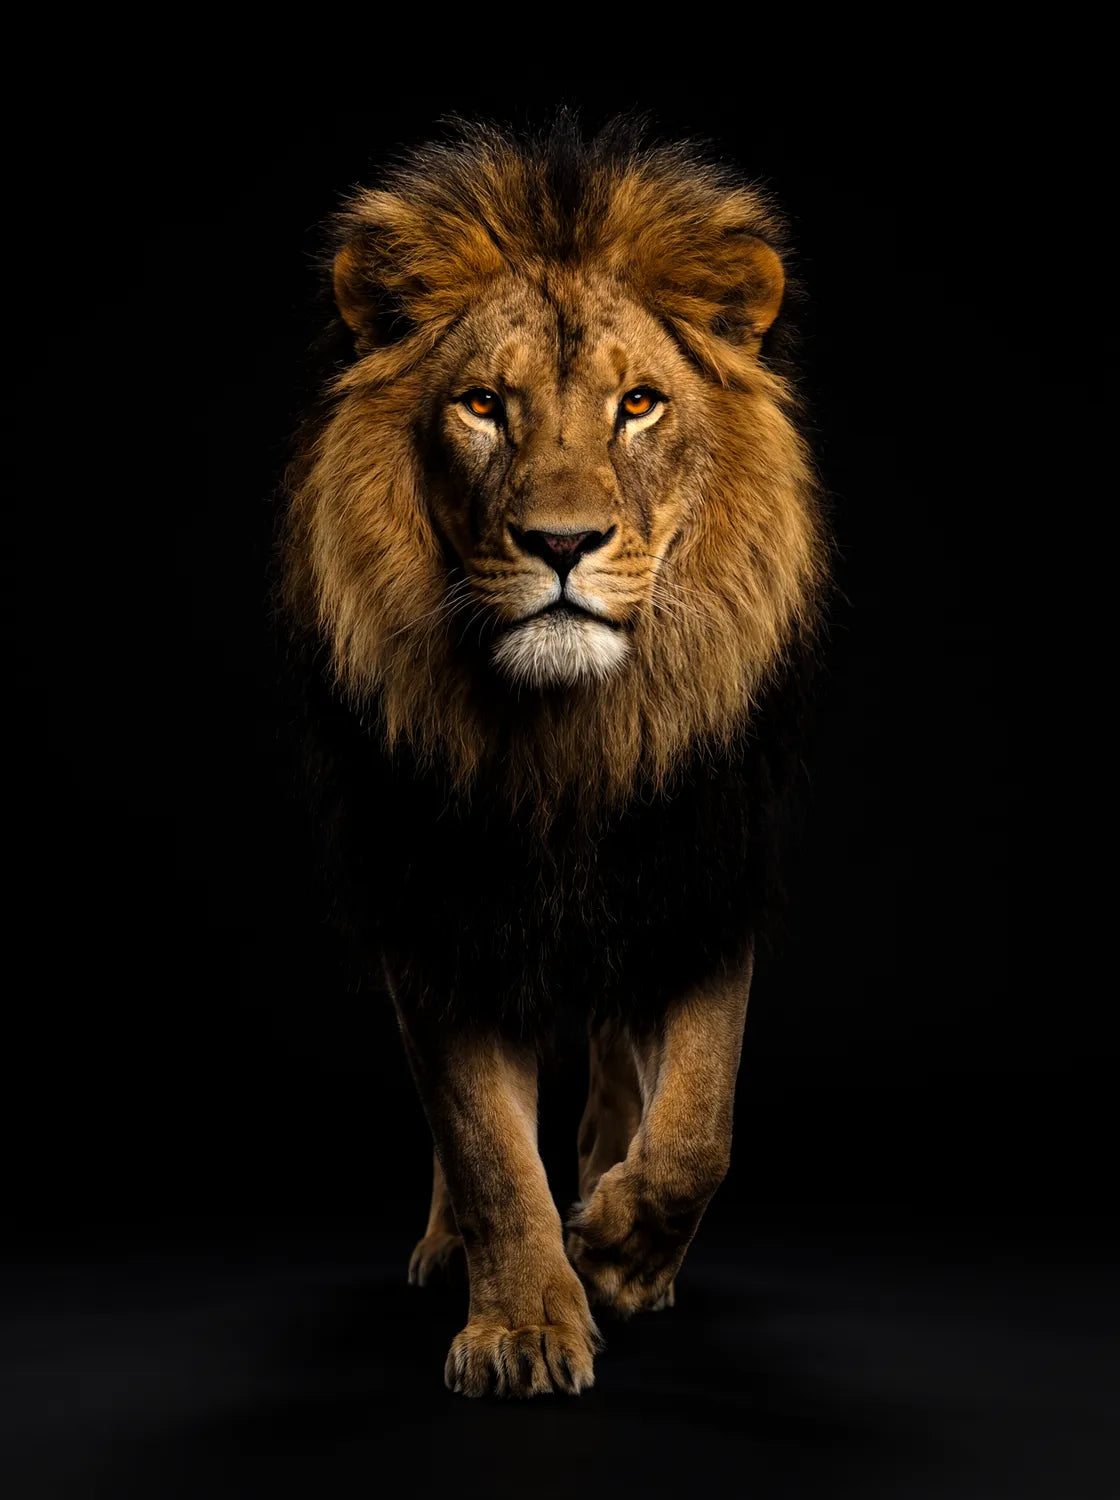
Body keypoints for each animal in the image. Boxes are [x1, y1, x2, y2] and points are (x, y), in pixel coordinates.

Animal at [281, 116, 827, 1399]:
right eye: (484, 403)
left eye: (640, 404)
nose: (563, 543)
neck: (566, 745)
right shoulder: (438, 909)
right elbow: (483, 1141)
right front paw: (526, 1319)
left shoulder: (699, 875)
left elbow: (700, 1120)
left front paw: (621, 1248)